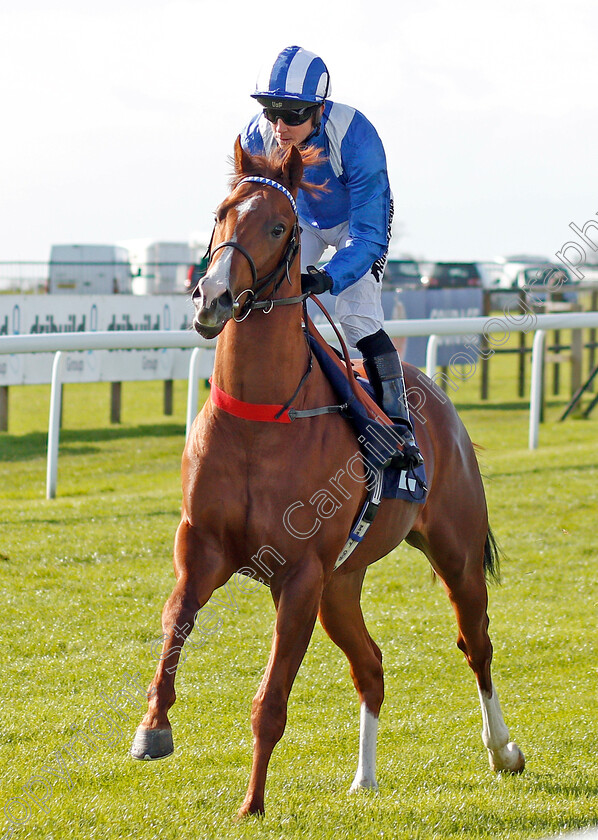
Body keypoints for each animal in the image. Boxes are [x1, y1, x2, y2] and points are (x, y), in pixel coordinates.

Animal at [132, 141, 524, 816]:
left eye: (278, 227)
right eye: (221, 212)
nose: (212, 298)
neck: (261, 416)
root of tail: (438, 400)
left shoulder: (300, 575)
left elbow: (270, 700)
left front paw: (252, 803)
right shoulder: (202, 547)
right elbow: (175, 619)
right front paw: (153, 727)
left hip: (454, 553)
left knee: (476, 643)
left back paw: (502, 750)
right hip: (343, 584)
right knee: (371, 665)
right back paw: (364, 778)